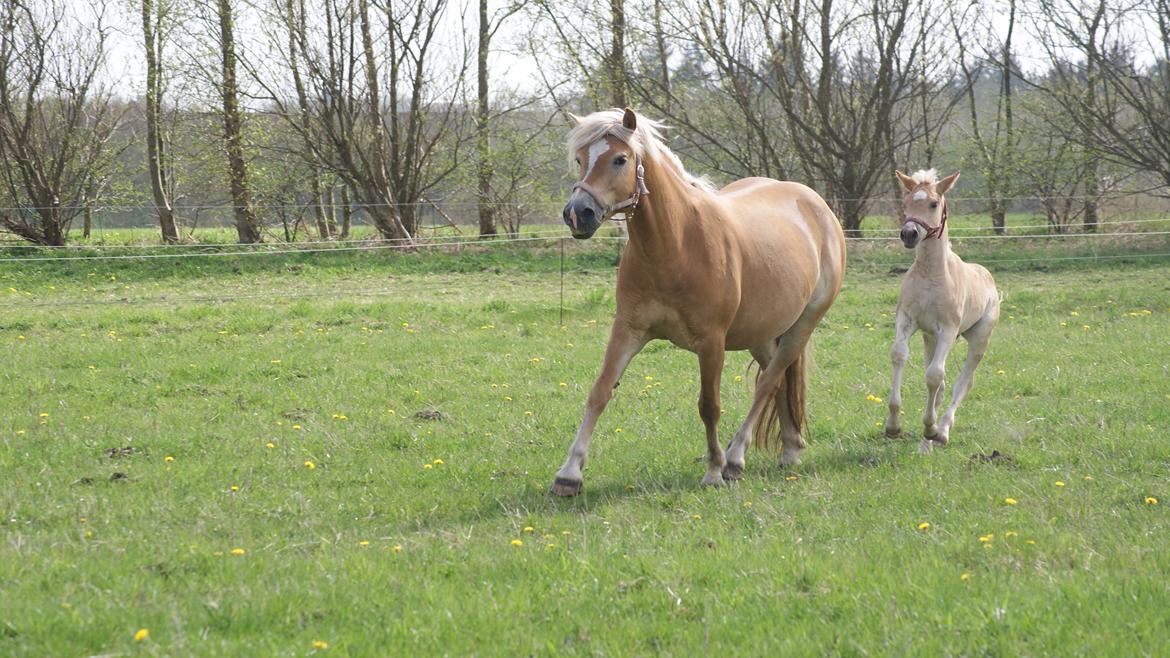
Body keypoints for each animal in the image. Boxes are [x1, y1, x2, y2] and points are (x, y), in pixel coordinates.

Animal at [552, 108, 847, 491]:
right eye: (579, 159)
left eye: (620, 159)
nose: (578, 213)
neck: (675, 244)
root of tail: (816, 205)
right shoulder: (628, 330)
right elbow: (600, 391)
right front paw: (569, 473)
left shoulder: (711, 342)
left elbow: (709, 405)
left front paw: (713, 470)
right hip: (761, 333)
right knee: (777, 381)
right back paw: (790, 448)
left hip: (803, 325)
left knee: (768, 382)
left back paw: (735, 458)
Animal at [884, 168, 996, 449]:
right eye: (907, 202)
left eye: (933, 204)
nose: (909, 234)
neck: (931, 275)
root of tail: (987, 276)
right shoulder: (908, 321)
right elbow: (899, 356)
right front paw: (893, 426)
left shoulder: (948, 329)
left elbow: (934, 375)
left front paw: (930, 427)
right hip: (929, 338)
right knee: (943, 384)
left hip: (978, 338)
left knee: (962, 382)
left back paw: (942, 430)